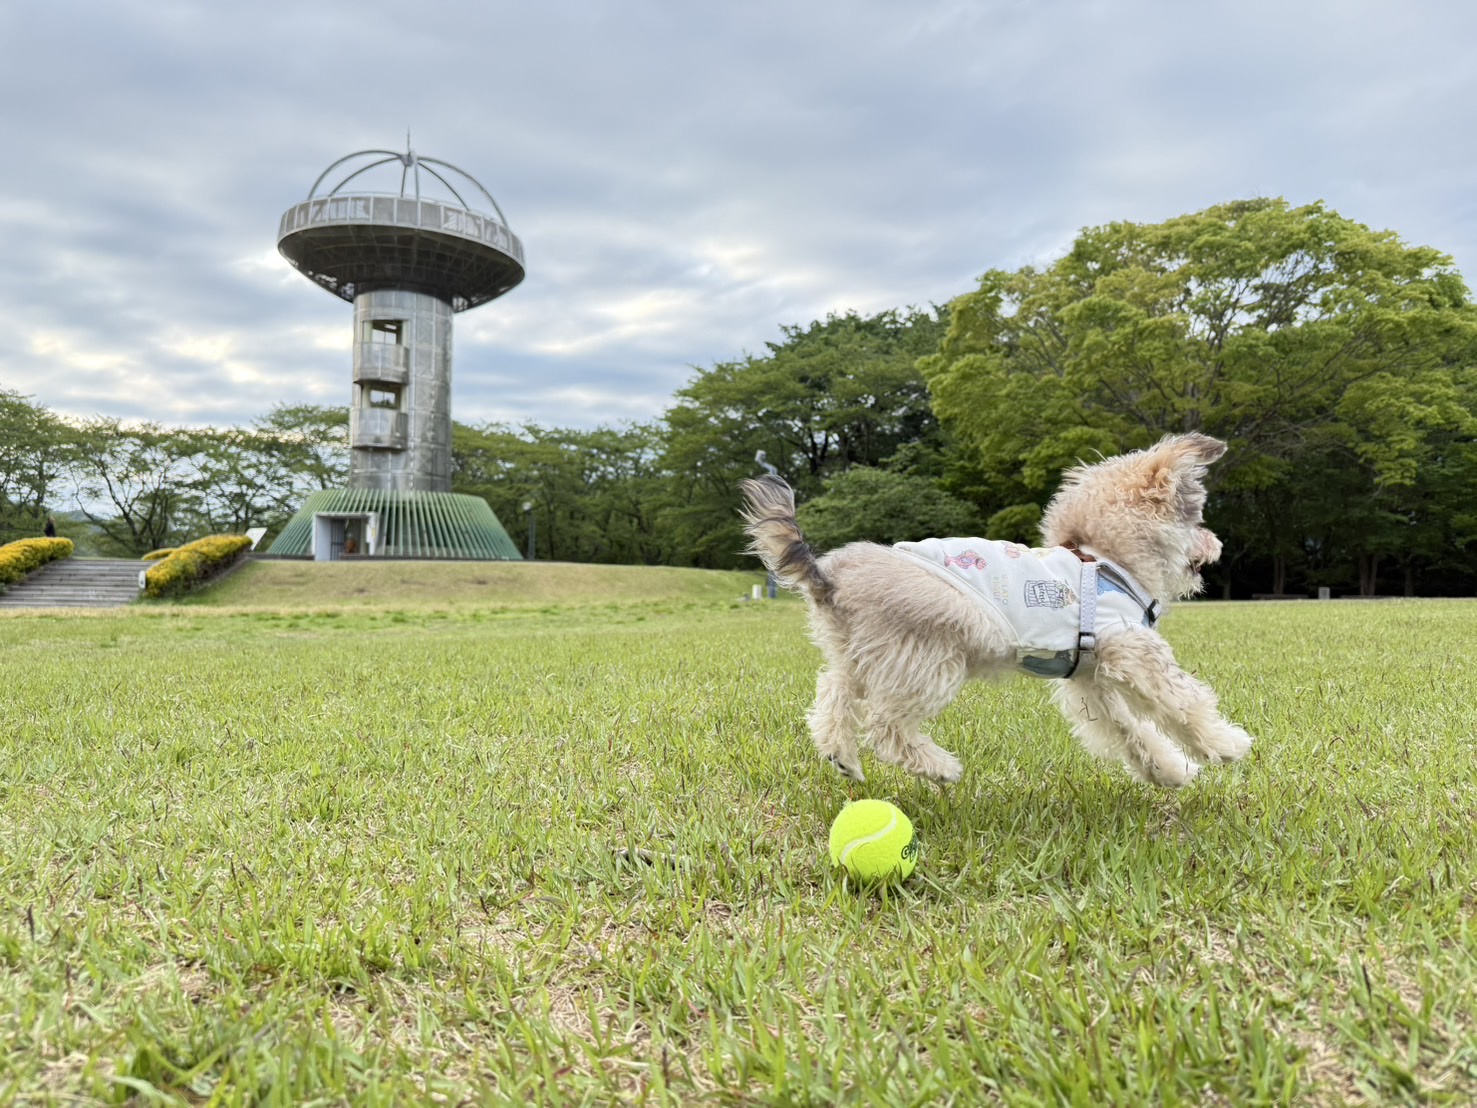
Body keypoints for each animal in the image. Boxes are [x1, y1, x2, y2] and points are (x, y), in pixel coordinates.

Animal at [739, 433, 1253, 787]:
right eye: (1199, 519)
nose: (1217, 544)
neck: (1104, 558)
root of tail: (829, 577)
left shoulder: (1090, 681)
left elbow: (1131, 732)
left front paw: (1171, 772)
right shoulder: (1132, 652)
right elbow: (1185, 702)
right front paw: (1225, 745)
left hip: (864, 657)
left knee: (833, 696)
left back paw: (842, 757)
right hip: (927, 662)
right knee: (885, 726)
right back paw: (940, 767)